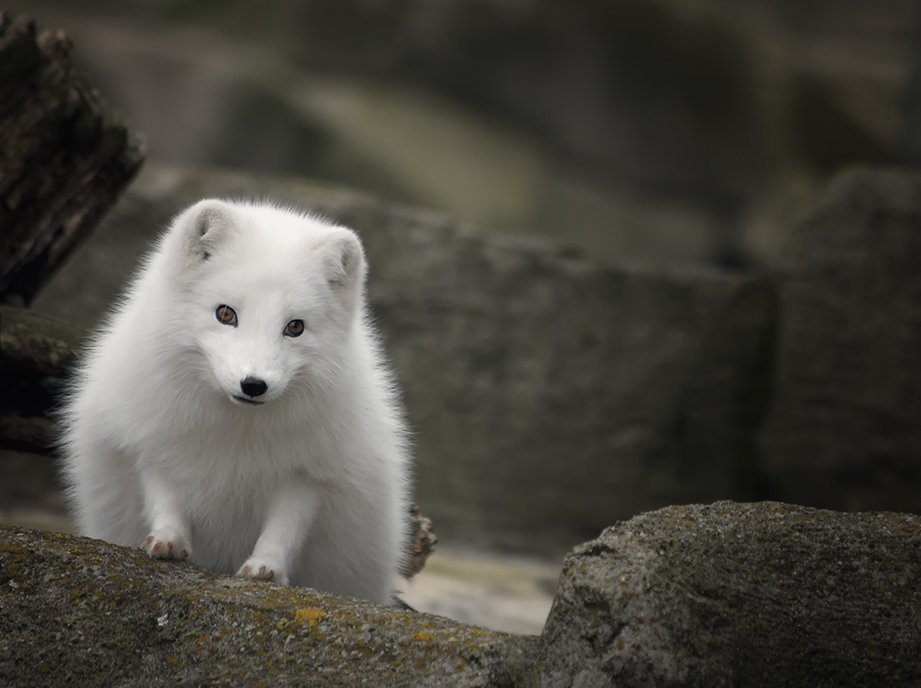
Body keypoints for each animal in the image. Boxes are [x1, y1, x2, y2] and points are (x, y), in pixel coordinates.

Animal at [60, 198, 410, 600]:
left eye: (295, 327)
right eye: (226, 314)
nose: (254, 385)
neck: (236, 436)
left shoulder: (309, 477)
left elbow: (285, 527)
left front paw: (266, 568)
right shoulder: (148, 446)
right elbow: (163, 495)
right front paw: (167, 540)